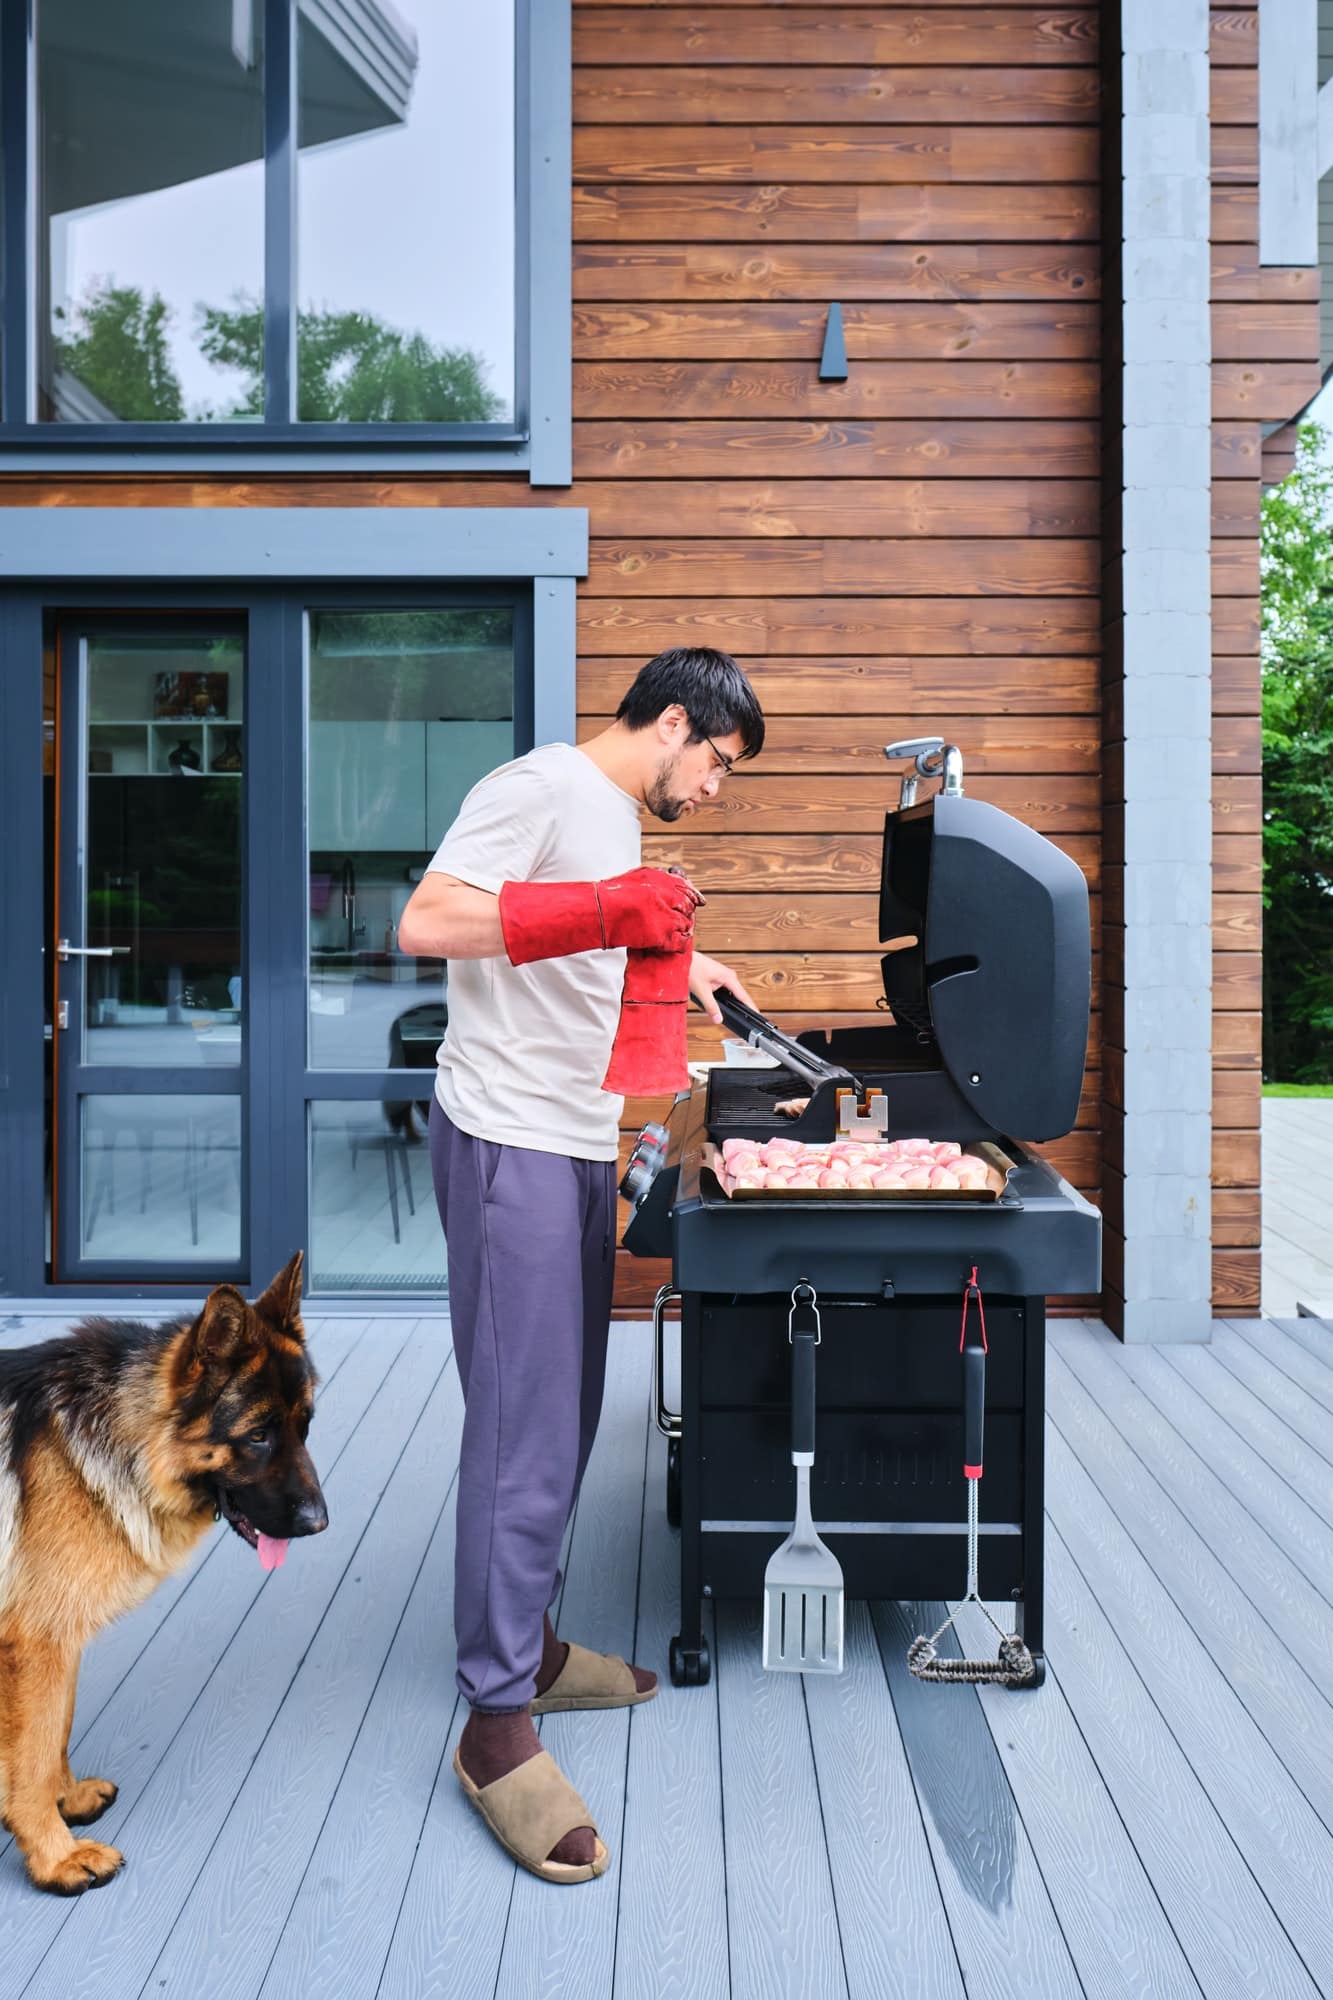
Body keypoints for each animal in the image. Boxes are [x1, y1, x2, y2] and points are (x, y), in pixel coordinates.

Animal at [0, 1256, 326, 1896]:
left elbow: (54, 1735)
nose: (320, 1523)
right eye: (258, 1435)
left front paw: (66, 1801)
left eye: (305, 1426)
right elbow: (32, 1756)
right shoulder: (36, 1644)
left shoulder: (56, 1645)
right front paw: (54, 1857)